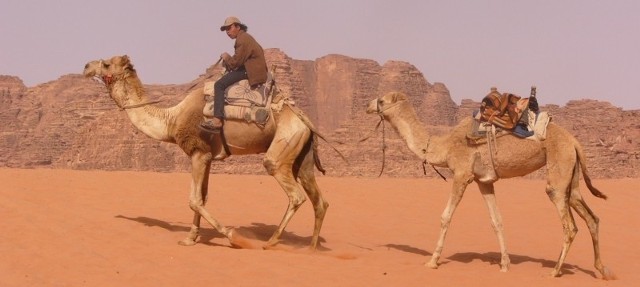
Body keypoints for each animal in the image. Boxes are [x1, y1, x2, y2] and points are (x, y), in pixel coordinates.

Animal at [84, 55, 330, 251]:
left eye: (106, 64)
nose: (86, 66)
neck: (172, 120)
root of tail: (304, 120)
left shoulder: (198, 151)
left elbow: (194, 200)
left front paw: (232, 236)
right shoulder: (208, 157)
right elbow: (202, 197)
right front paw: (190, 238)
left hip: (283, 145)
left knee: (294, 193)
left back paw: (270, 242)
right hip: (302, 154)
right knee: (320, 200)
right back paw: (311, 248)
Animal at [370, 91, 616, 280]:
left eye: (381, 100)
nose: (367, 106)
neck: (444, 146)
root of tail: (575, 142)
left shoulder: (461, 174)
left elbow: (445, 216)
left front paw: (432, 261)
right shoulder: (484, 181)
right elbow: (496, 220)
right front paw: (505, 264)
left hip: (559, 169)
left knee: (569, 225)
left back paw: (555, 271)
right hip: (571, 174)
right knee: (591, 217)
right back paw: (603, 270)